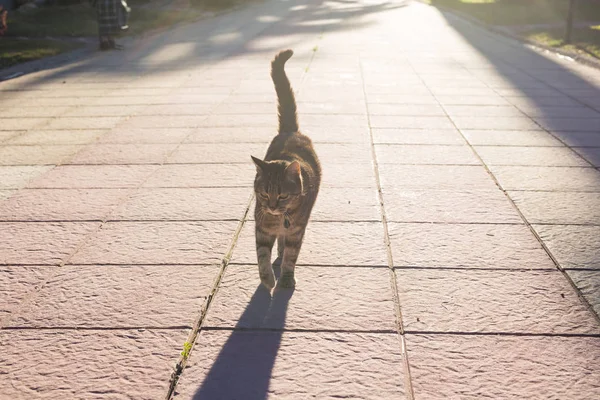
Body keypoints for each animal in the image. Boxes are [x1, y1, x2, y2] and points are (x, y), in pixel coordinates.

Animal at [251, 48, 322, 290]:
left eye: (282, 195)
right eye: (264, 194)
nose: (272, 207)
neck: (280, 219)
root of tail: (291, 131)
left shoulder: (297, 231)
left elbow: (292, 256)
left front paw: (286, 279)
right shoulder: (262, 228)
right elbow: (262, 256)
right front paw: (267, 279)